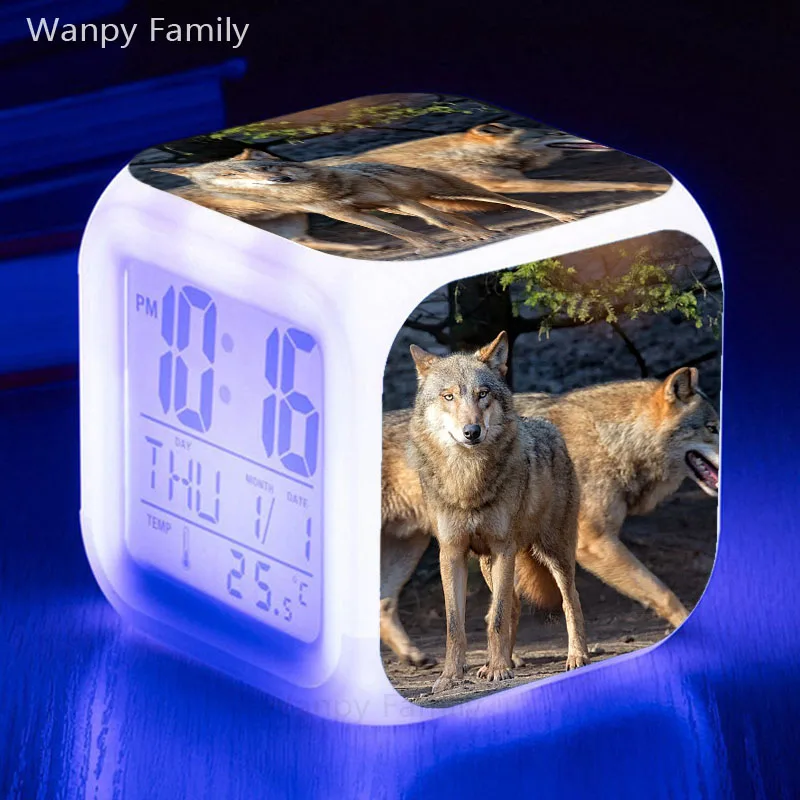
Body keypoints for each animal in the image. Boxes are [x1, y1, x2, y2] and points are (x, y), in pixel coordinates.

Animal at [153, 148, 576, 254]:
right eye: (228, 176)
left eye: (266, 165)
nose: (279, 178)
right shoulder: (352, 213)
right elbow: (402, 231)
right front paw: (428, 245)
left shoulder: (396, 201)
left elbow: (433, 224)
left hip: (450, 190)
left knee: (511, 202)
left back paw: (563, 216)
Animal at [407, 332, 589, 692]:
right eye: (448, 396)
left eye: (483, 394)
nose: (472, 432)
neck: (467, 479)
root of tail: (547, 426)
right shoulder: (452, 552)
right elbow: (457, 626)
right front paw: (450, 677)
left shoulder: (503, 547)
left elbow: (497, 618)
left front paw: (498, 670)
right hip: (488, 564)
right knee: (513, 605)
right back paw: (505, 659)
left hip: (553, 552)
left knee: (570, 599)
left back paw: (576, 656)